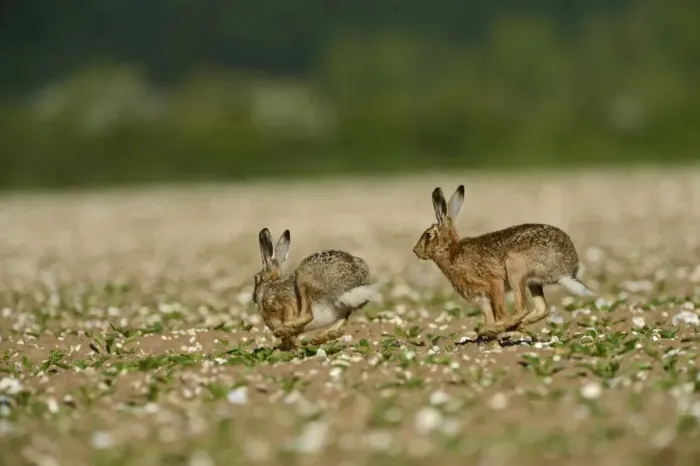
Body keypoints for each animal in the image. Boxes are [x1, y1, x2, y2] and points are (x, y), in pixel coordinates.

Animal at [412, 184, 595, 339]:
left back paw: (504, 328)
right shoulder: (482, 298)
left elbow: (500, 312)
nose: (415, 251)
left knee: (521, 309)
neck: (453, 253)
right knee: (541, 308)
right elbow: (490, 316)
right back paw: (517, 327)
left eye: (428, 235)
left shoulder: (494, 282)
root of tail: (566, 270)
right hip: (532, 282)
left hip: (515, 268)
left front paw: (491, 331)